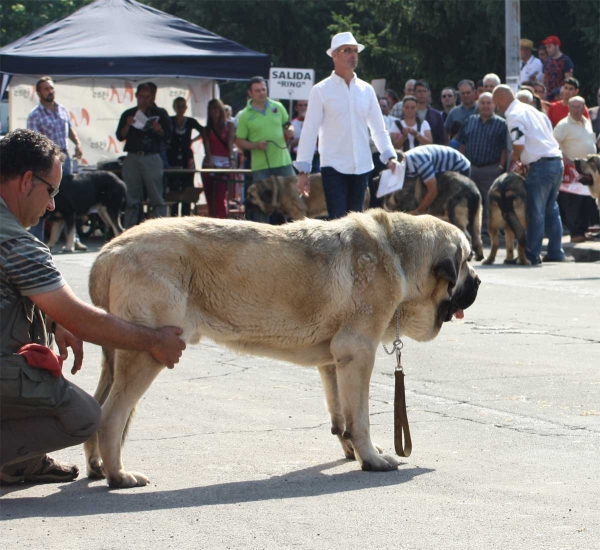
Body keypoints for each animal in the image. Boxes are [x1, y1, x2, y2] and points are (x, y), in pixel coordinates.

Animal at [84, 210, 480, 488]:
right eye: (467, 261)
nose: (478, 281)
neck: (399, 257)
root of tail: (109, 251)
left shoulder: (334, 362)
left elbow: (342, 414)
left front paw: (351, 448)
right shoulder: (358, 352)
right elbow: (361, 416)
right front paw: (371, 458)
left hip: (115, 356)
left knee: (98, 403)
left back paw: (96, 466)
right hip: (149, 352)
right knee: (111, 414)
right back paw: (118, 476)